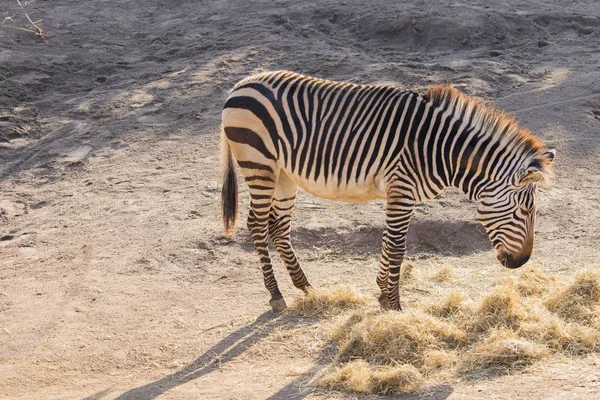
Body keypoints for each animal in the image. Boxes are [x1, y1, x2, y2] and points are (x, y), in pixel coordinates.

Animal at [218, 70, 556, 310]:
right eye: (526, 210)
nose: (521, 262)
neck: (440, 149)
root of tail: (240, 85)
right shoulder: (402, 189)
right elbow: (396, 247)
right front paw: (393, 304)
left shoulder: (400, 193)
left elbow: (387, 243)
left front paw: (382, 291)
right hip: (259, 164)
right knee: (257, 225)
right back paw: (276, 294)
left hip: (284, 174)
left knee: (278, 227)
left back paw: (304, 285)